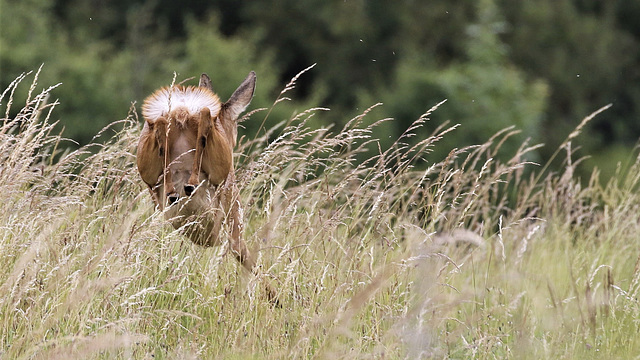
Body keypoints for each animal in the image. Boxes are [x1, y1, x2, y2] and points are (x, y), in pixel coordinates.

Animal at [136, 71, 276, 302]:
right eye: (234, 124)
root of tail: (182, 111)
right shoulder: (233, 219)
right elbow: (246, 256)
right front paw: (277, 297)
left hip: (146, 164)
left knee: (168, 124)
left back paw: (176, 190)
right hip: (221, 169)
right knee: (204, 115)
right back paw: (189, 185)